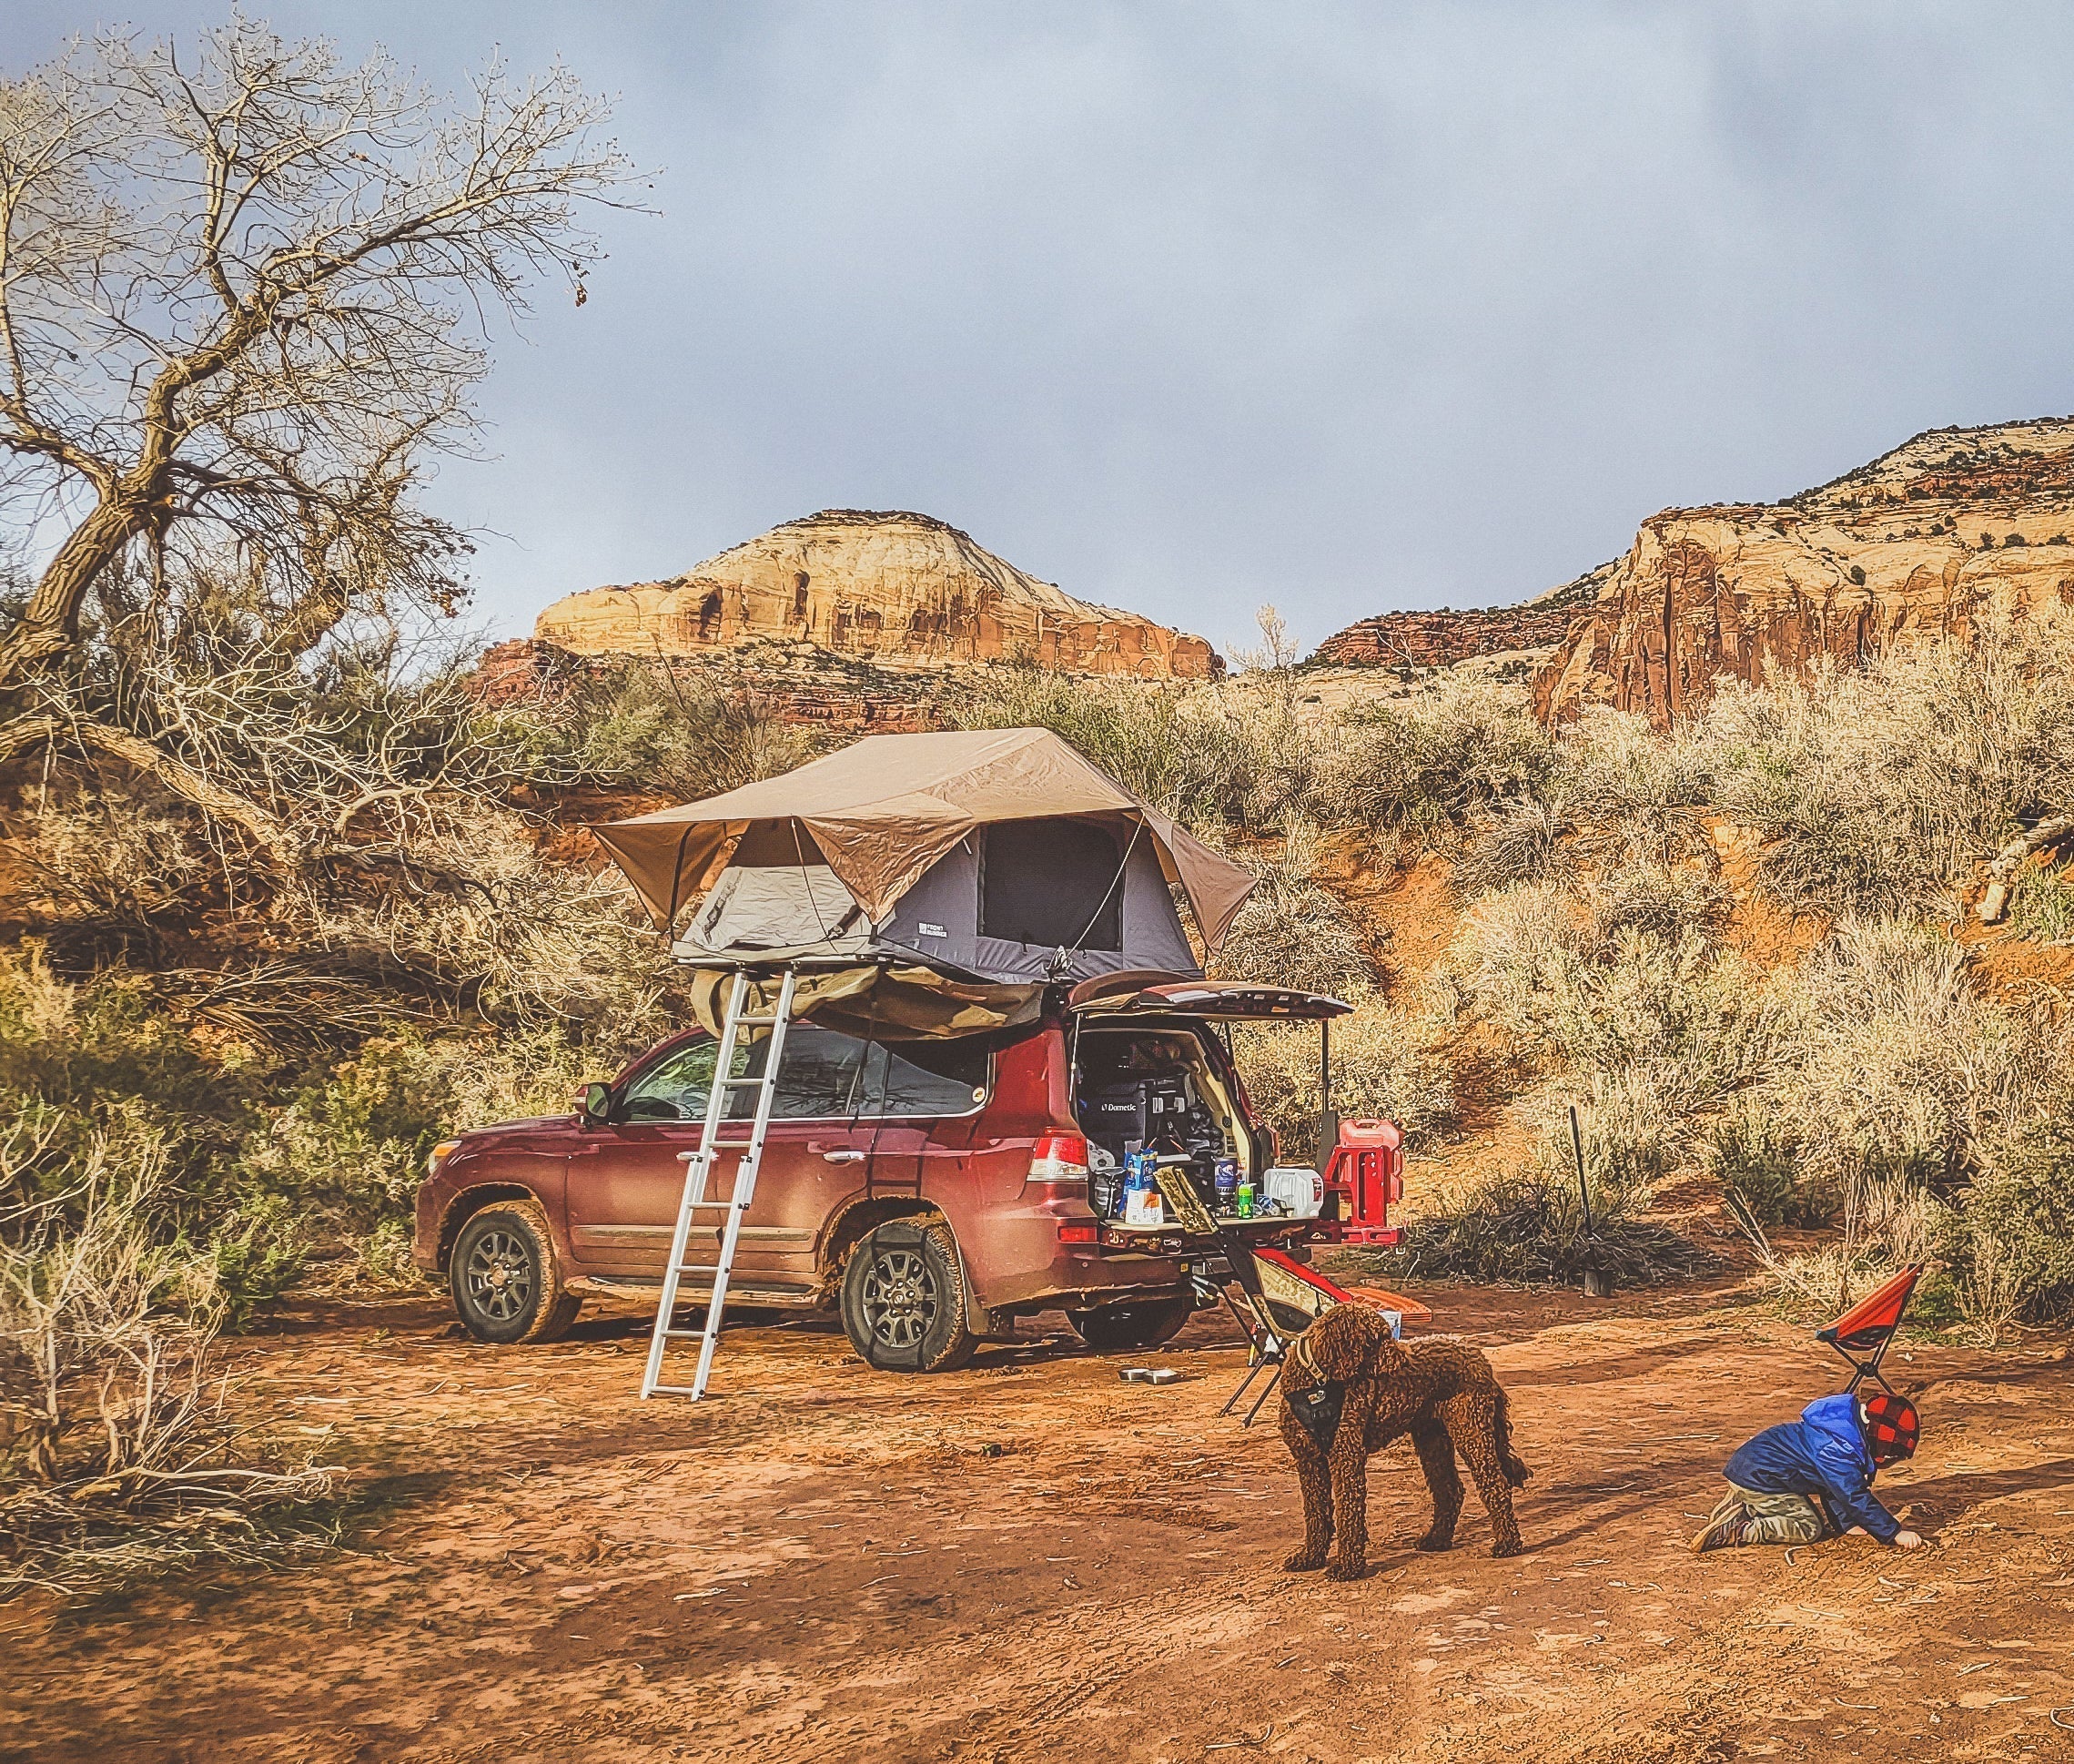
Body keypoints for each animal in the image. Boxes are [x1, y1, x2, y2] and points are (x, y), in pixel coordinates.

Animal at [1269, 1303, 1534, 1576]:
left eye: (1388, 1334)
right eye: (1379, 1339)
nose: (1405, 1359)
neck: (1314, 1384)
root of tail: (1477, 1355)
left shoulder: (1346, 1457)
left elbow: (1348, 1515)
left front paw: (1347, 1567)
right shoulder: (1309, 1462)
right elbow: (1316, 1515)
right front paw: (1310, 1558)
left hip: (1471, 1431)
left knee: (1496, 1485)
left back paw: (1507, 1544)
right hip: (1432, 1439)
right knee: (1449, 1490)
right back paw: (1437, 1539)